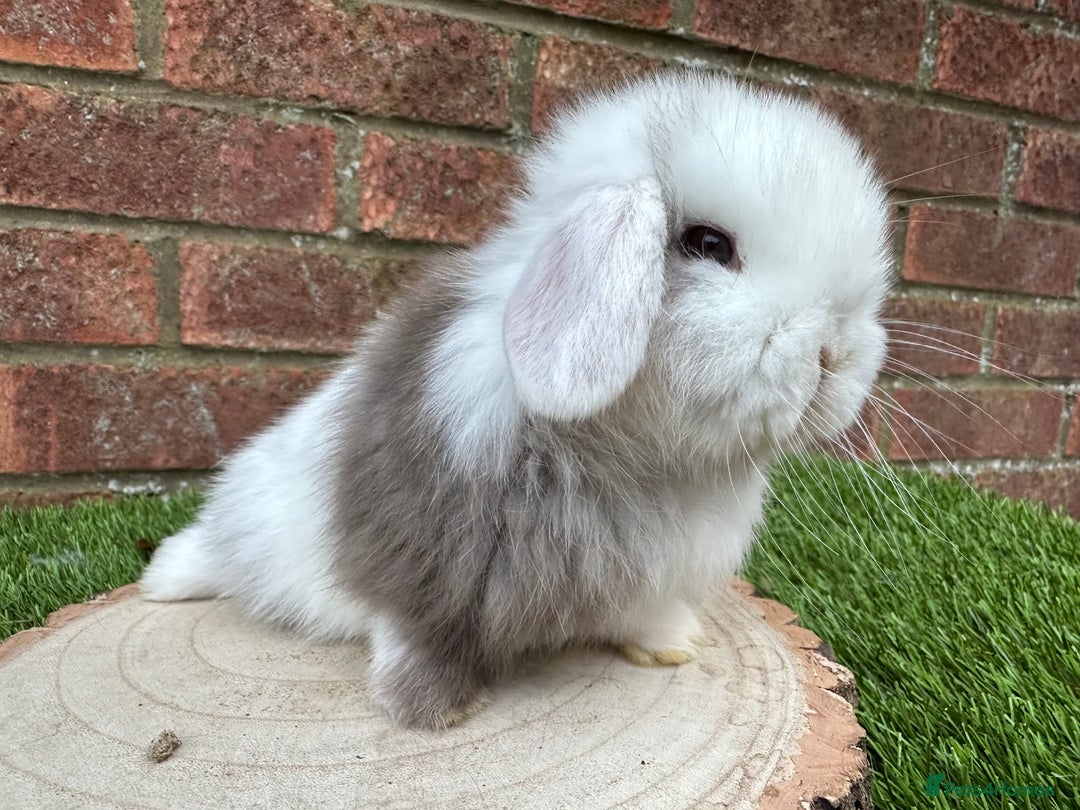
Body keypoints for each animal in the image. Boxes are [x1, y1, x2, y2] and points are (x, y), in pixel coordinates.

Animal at [141, 71, 892, 729]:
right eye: (708, 244)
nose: (835, 356)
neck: (636, 456)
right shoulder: (424, 556)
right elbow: (413, 629)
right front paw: (429, 707)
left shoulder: (639, 573)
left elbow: (640, 612)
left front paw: (674, 643)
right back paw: (163, 580)